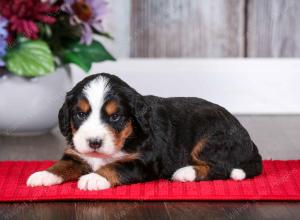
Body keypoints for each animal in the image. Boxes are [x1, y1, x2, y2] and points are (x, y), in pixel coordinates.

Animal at [27, 73, 262, 190]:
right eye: (80, 114)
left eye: (115, 117)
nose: (94, 142)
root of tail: (250, 142)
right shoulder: (76, 155)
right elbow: (62, 165)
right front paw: (43, 174)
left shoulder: (143, 161)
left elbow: (116, 166)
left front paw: (94, 178)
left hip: (211, 138)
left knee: (222, 167)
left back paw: (185, 172)